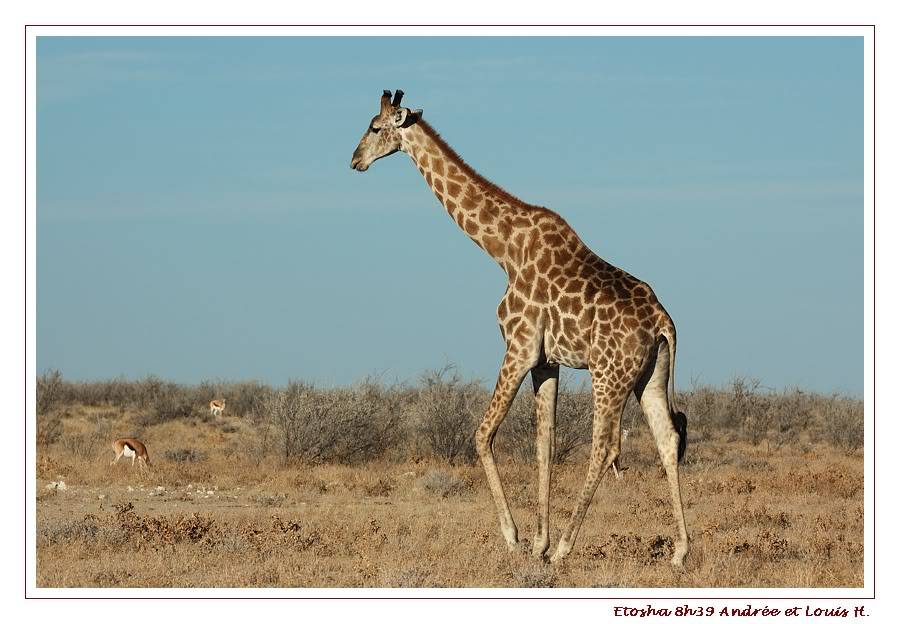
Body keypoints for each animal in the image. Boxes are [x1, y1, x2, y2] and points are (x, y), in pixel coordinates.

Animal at [350, 91, 688, 564]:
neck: (503, 249)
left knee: (606, 447)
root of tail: (662, 322)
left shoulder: (519, 345)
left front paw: (516, 537)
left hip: (609, 375)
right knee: (668, 439)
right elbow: (544, 445)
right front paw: (537, 543)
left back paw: (566, 547)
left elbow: (482, 434)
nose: (355, 160)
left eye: (375, 127)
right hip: (650, 376)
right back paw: (680, 551)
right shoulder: (547, 360)